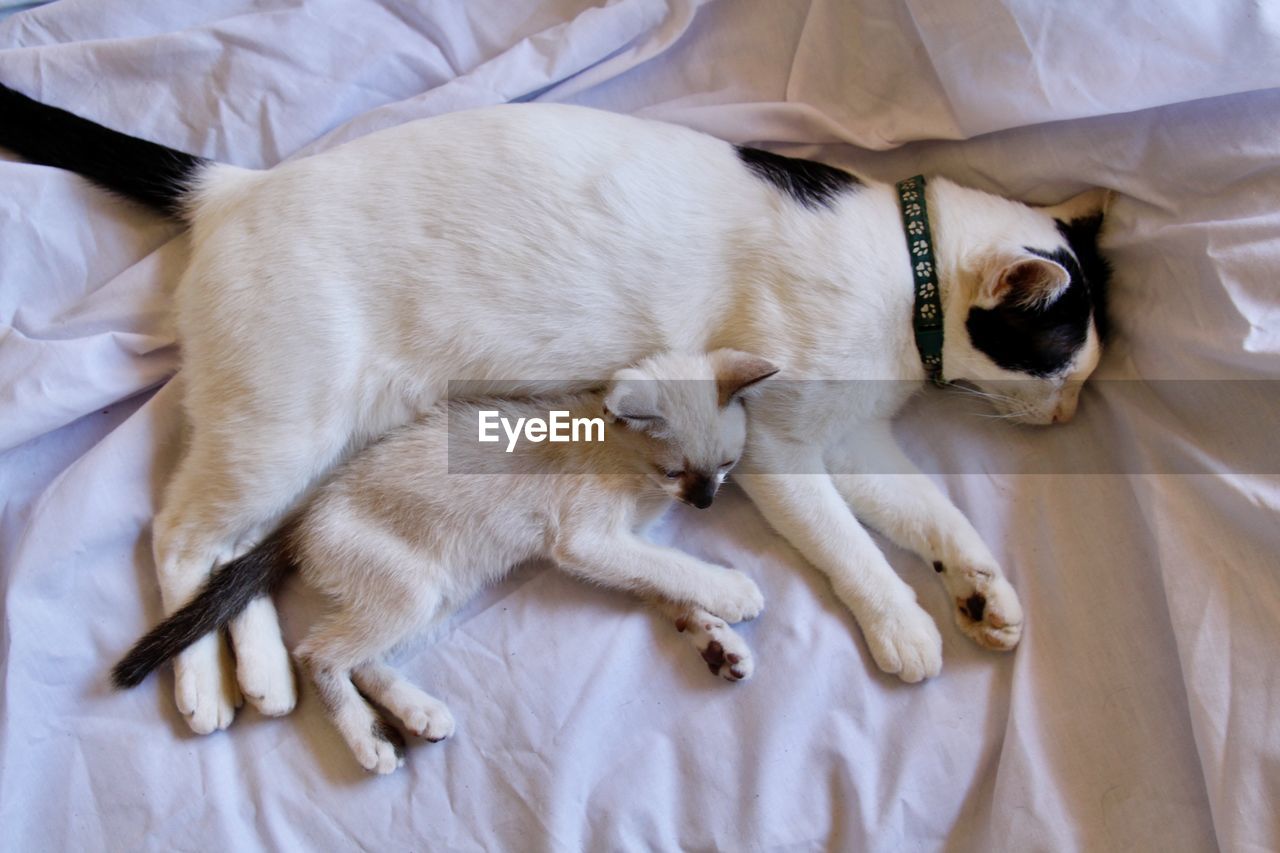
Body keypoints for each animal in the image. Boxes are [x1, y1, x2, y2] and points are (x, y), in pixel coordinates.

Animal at [115, 345, 778, 768]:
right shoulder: (589, 542)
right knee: (318, 654)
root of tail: (301, 519)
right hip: (416, 593)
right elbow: (673, 569)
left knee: (362, 659)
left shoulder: (613, 549)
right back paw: (371, 742)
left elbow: (663, 585)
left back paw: (418, 714)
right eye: (676, 471)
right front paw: (733, 594)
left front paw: (718, 643)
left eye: (726, 465)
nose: (705, 502)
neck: (633, 474)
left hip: (443, 593)